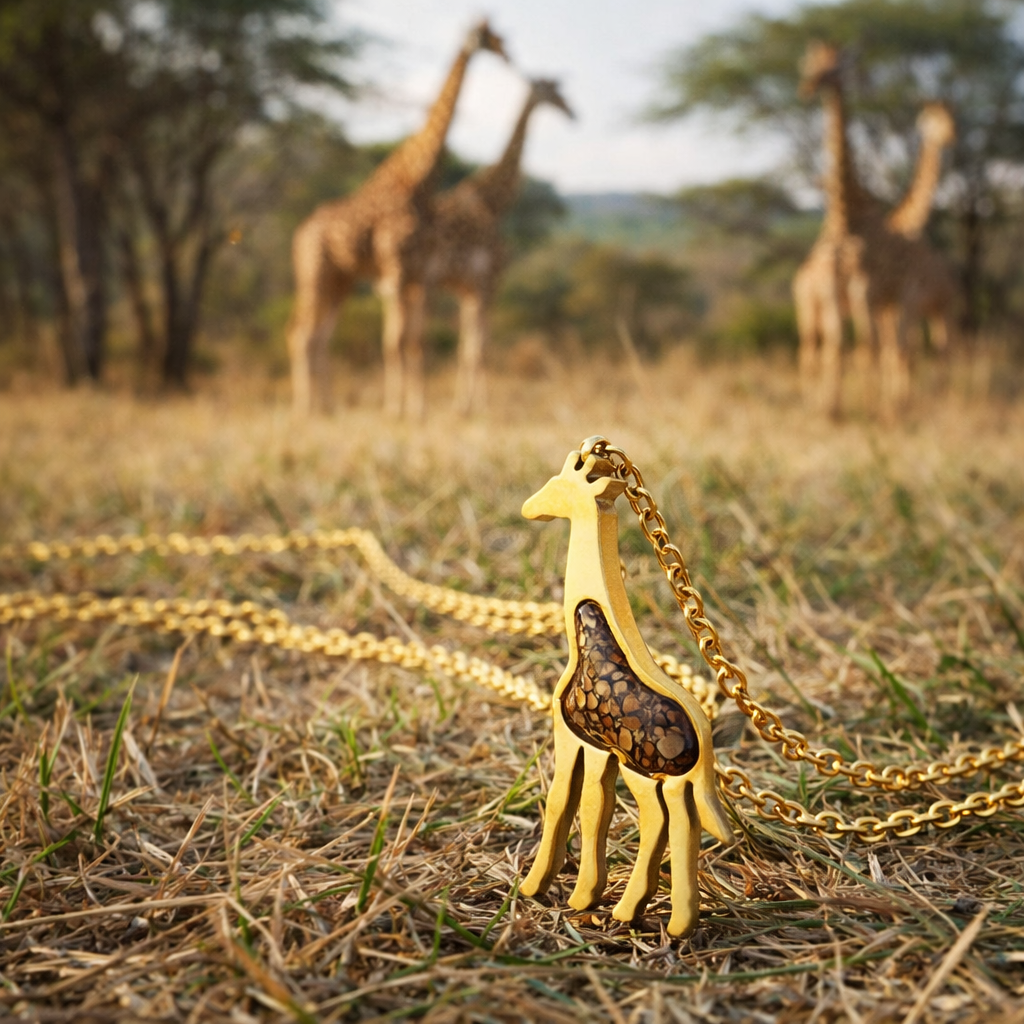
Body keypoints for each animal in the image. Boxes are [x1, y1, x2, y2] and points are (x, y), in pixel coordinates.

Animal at [286, 21, 507, 418]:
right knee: (302, 335)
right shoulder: (401, 270)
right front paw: (402, 410)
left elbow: (411, 341)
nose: (506, 50)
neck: (417, 181)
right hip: (316, 273)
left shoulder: (413, 274)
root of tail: (301, 233)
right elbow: (399, 341)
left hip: (341, 280)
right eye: (488, 35)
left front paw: (412, 407)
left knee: (318, 338)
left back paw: (326, 407)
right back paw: (306, 410)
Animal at [424, 78, 574, 415]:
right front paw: (478, 406)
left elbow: (465, 347)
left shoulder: (469, 290)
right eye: (551, 91)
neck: (495, 202)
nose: (572, 112)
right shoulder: (489, 283)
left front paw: (463, 405)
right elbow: (478, 348)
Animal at [518, 444, 732, 938]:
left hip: (646, 770)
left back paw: (635, 913)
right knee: (681, 826)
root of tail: (701, 748)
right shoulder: (600, 752)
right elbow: (594, 809)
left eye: (557, 486)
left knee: (658, 822)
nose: (528, 508)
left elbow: (563, 803)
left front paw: (541, 887)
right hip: (669, 781)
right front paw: (582, 892)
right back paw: (665, 916)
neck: (582, 638)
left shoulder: (572, 738)